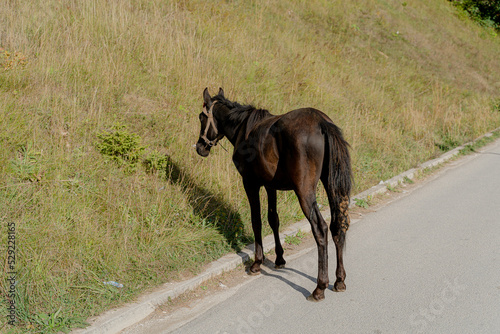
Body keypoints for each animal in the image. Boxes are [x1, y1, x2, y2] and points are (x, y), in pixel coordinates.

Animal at [195, 87, 352, 302]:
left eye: (201, 117)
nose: (199, 147)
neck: (243, 128)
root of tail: (321, 122)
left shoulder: (250, 184)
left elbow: (256, 221)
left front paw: (257, 262)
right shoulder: (271, 186)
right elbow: (273, 219)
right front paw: (279, 258)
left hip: (305, 192)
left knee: (320, 229)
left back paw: (320, 287)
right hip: (331, 185)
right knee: (338, 226)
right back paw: (339, 280)